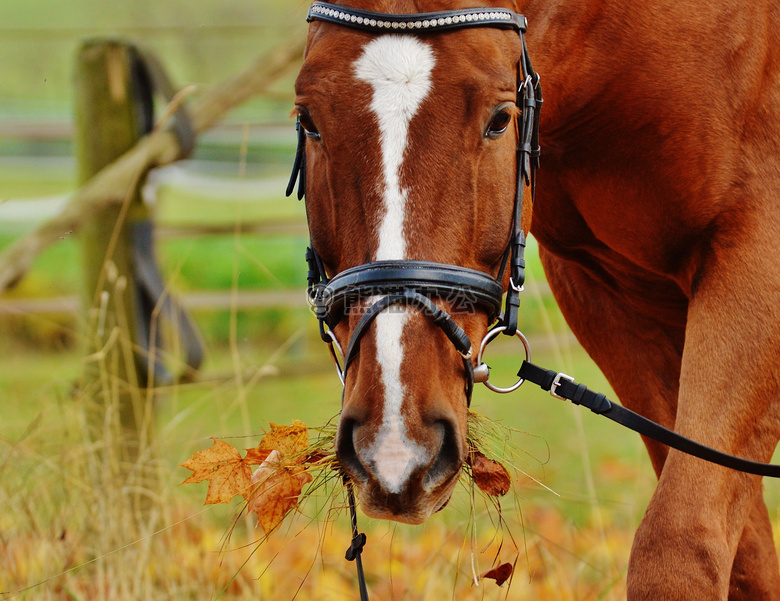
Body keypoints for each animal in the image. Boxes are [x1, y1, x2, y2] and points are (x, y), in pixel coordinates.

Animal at [290, 1, 780, 596]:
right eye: (309, 120)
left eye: (500, 119)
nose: (395, 449)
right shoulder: (607, 293)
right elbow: (746, 556)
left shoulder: (758, 254)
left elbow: (681, 542)